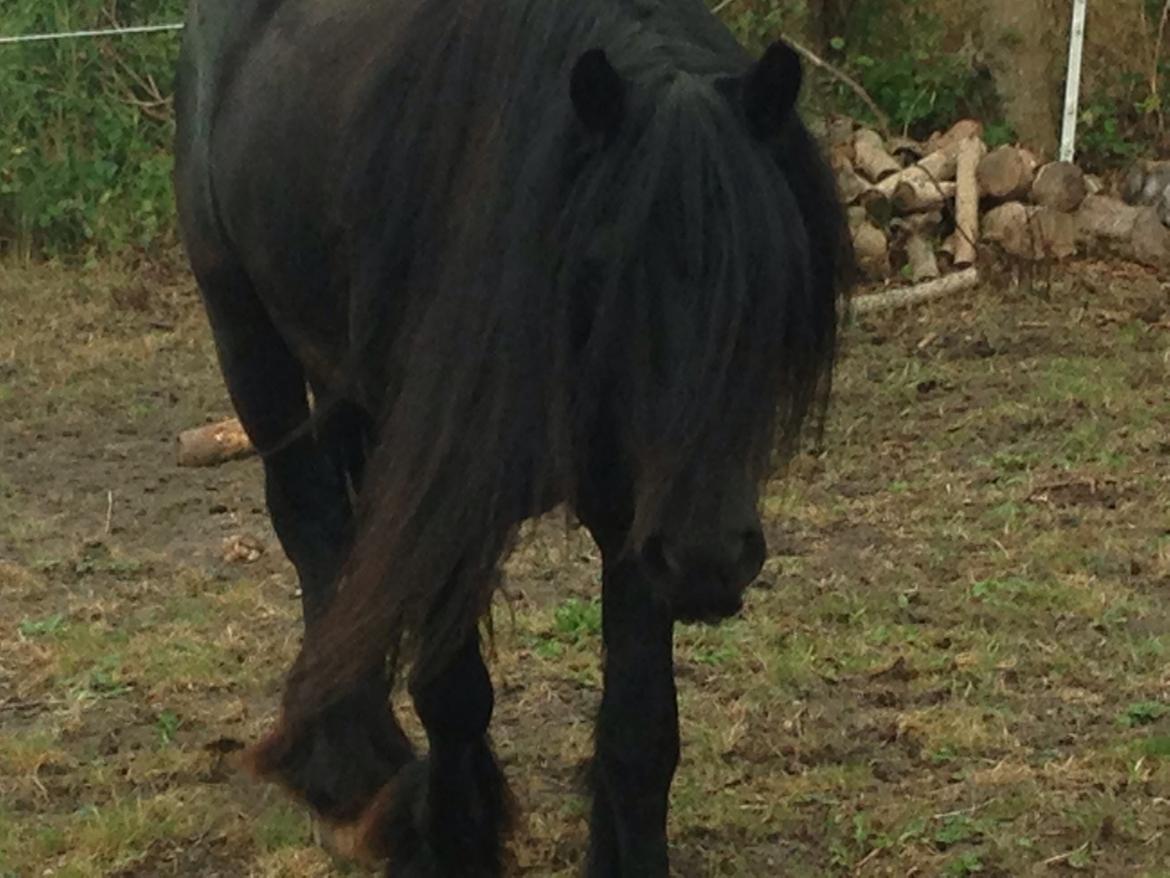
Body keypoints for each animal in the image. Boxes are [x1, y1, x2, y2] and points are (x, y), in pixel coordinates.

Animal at [173, 0, 849, 874]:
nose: (709, 559)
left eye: (774, 267)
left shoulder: (633, 510)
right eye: (604, 268)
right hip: (247, 334)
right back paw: (348, 776)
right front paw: (453, 841)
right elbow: (455, 698)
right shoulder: (441, 489)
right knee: (311, 529)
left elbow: (641, 730)